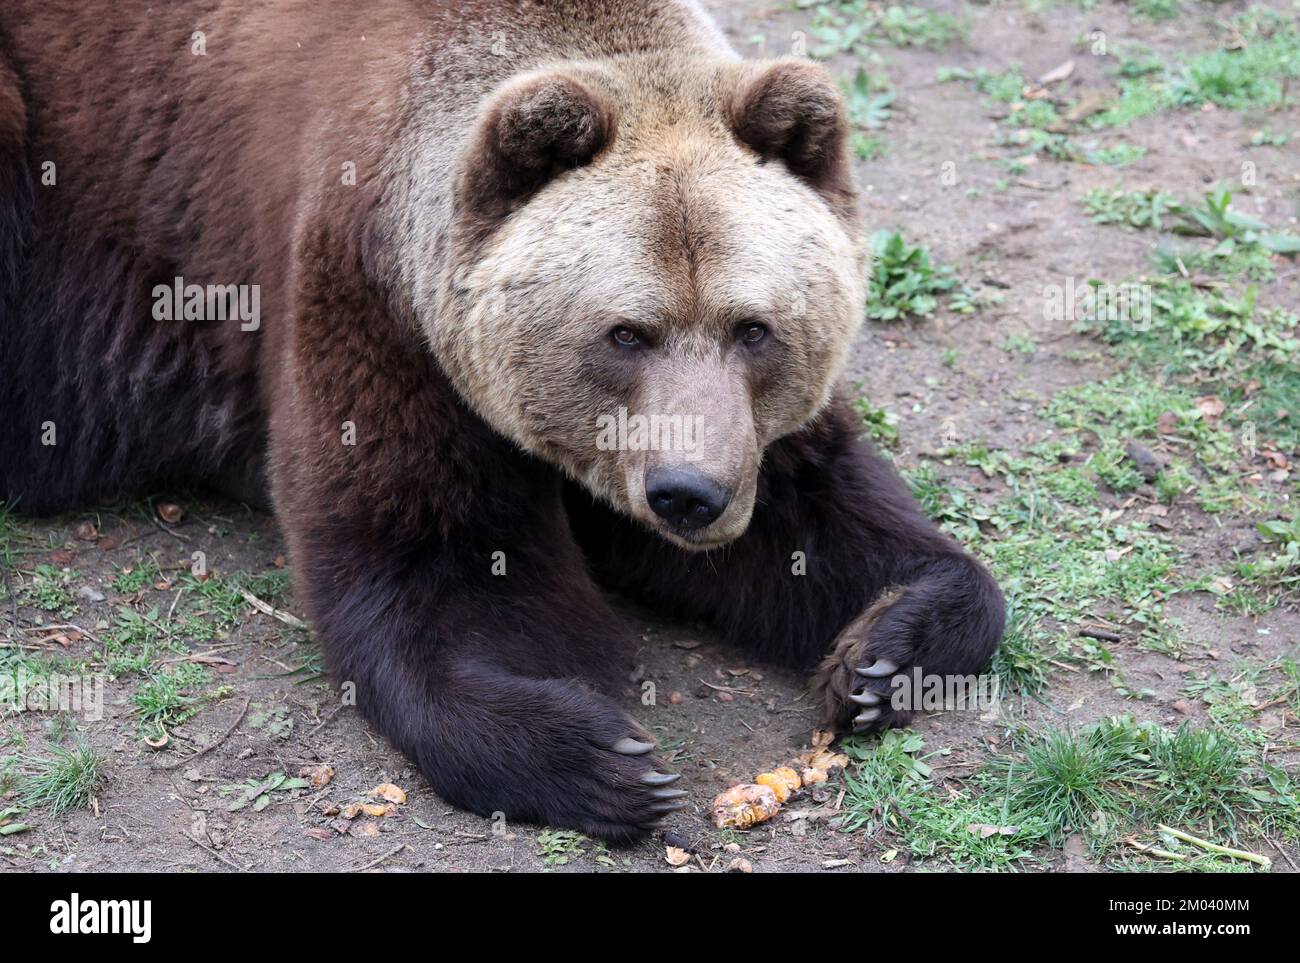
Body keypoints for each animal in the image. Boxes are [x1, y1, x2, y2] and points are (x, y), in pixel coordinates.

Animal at [0, 0, 1004, 842]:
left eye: (753, 326)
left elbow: (822, 518)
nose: (688, 494)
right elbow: (432, 565)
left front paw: (877, 654)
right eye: (626, 331)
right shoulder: (369, 300)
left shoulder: (745, 434)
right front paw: (602, 759)